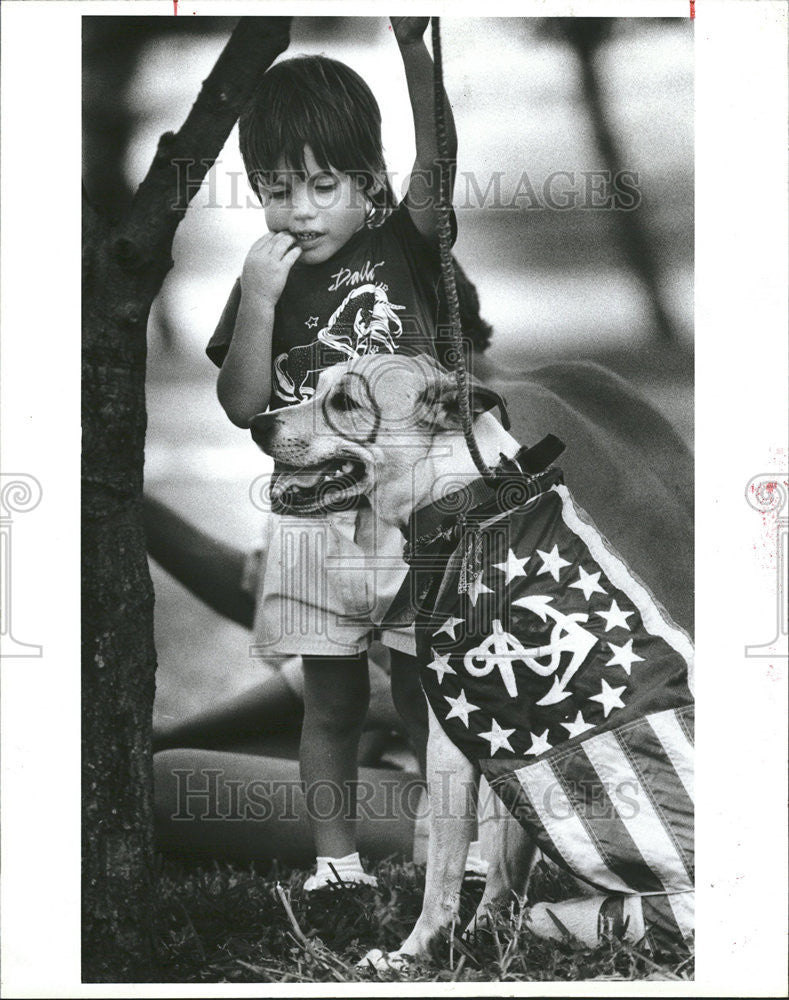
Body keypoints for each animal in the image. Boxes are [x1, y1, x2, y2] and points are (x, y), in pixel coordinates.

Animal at [249, 356, 692, 964]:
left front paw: (411, 955)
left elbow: (444, 873)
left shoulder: (458, 743)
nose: (256, 424)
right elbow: (504, 870)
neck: (470, 502)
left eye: (344, 402)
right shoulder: (507, 748)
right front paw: (485, 936)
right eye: (316, 388)